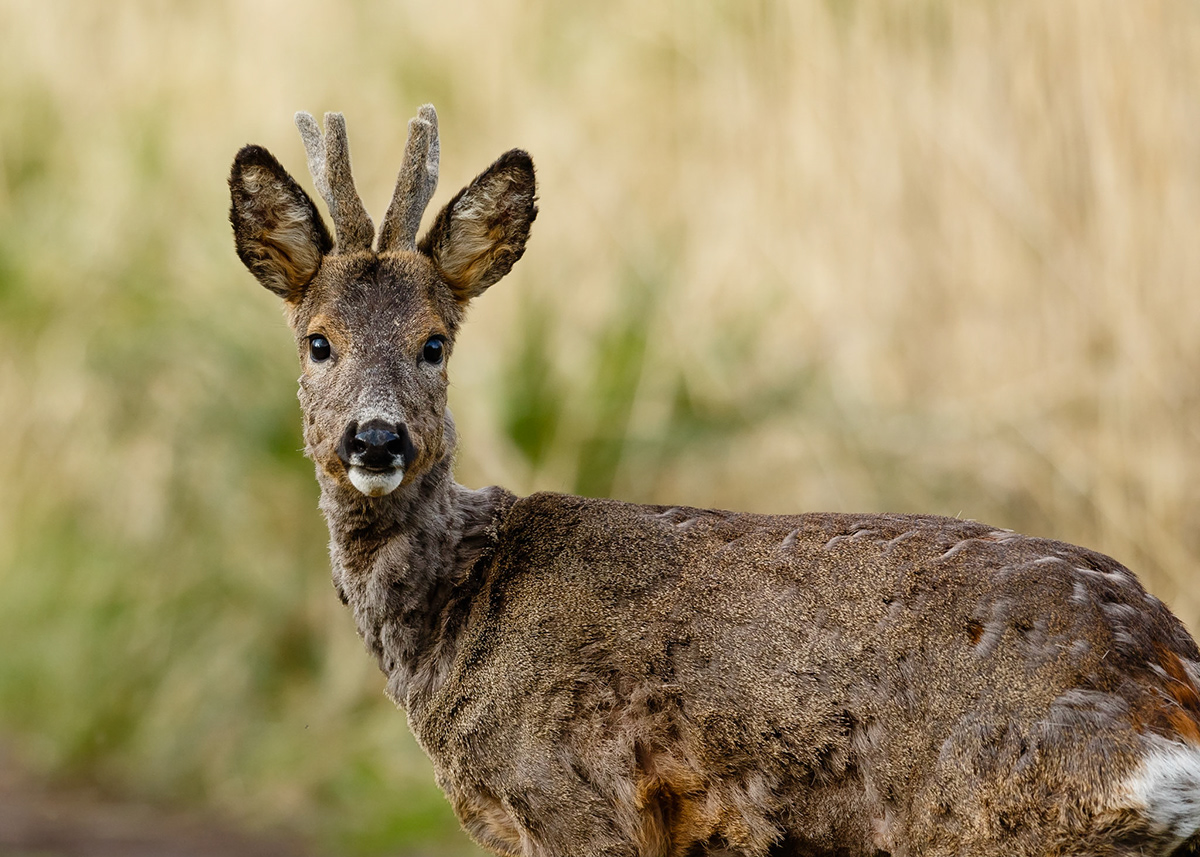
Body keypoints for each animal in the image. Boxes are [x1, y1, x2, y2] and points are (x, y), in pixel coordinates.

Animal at [231, 108, 1200, 854]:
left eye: (435, 342)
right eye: (318, 341)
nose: (376, 437)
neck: (462, 613)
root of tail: (1167, 692)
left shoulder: (577, 801)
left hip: (996, 813)